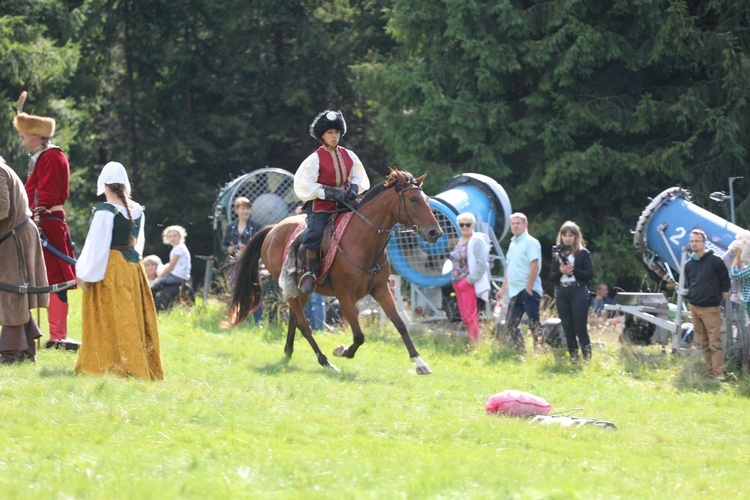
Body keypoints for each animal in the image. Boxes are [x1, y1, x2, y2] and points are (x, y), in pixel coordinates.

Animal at [226, 170, 444, 374]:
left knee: (294, 320)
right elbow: (359, 336)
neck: (363, 241)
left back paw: (288, 352)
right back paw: (324, 360)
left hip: (302, 291)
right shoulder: (345, 295)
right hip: (290, 289)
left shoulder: (381, 290)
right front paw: (342, 351)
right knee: (304, 324)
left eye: (426, 200)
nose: (436, 232)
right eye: (414, 199)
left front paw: (420, 362)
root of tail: (272, 230)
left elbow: (400, 324)